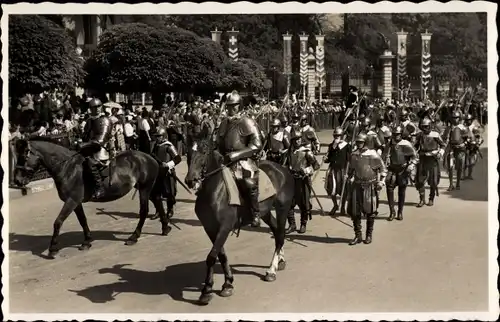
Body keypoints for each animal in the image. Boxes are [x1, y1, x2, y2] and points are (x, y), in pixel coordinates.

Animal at [13, 137, 172, 258]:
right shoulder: (76, 202)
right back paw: (165, 228)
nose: (17, 181)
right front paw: (87, 241)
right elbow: (82, 220)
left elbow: (58, 222)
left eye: (24, 156)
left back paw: (134, 237)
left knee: (144, 211)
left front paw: (52, 249)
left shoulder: (71, 200)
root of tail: (149, 156)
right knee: (158, 202)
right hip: (147, 188)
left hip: (144, 189)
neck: (68, 168)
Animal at [183, 137, 292, 306]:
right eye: (188, 151)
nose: (190, 180)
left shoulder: (225, 227)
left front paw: (206, 291)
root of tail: (283, 169)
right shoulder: (210, 228)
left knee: (280, 235)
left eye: (204, 151)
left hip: (282, 209)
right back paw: (280, 260)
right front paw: (227, 284)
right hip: (265, 212)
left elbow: (211, 257)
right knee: (276, 231)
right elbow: (221, 255)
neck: (214, 190)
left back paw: (271, 271)